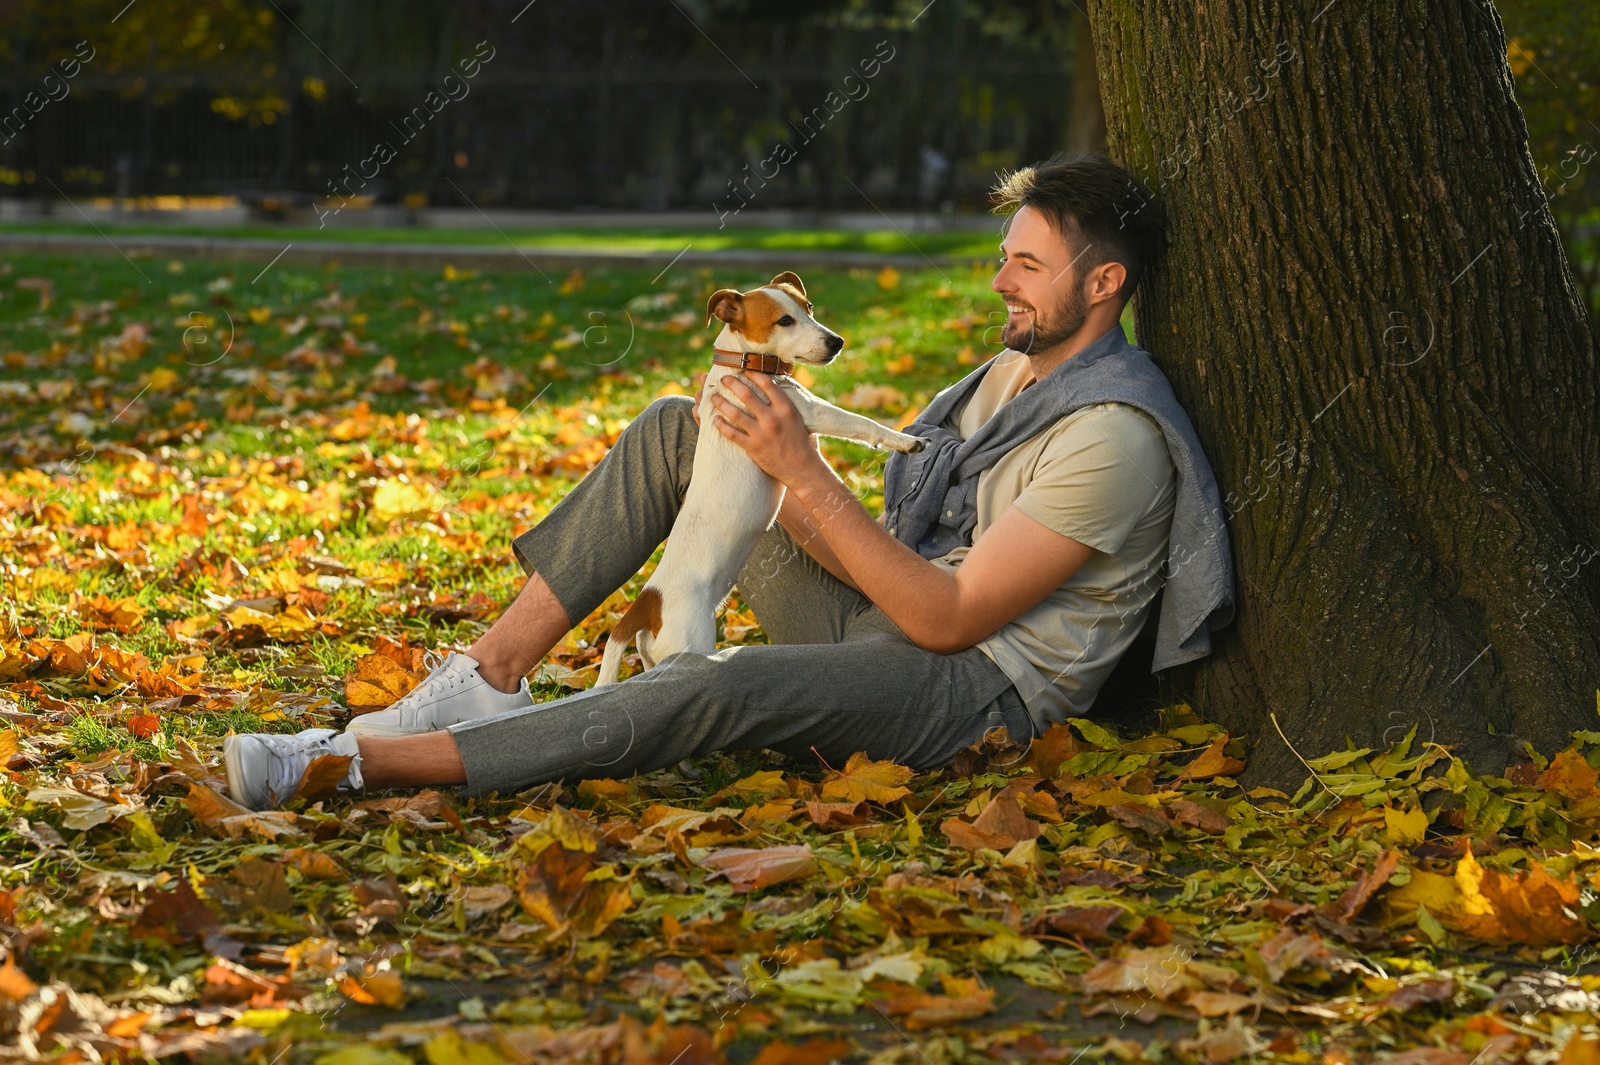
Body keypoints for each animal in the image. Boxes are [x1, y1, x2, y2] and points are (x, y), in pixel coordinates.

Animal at [598, 273, 928, 684]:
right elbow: (861, 424)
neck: (745, 365)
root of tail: (648, 600)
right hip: (690, 643)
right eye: (784, 321)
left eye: (809, 308)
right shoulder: (811, 411)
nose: (837, 342)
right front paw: (905, 441)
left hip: (652, 657)